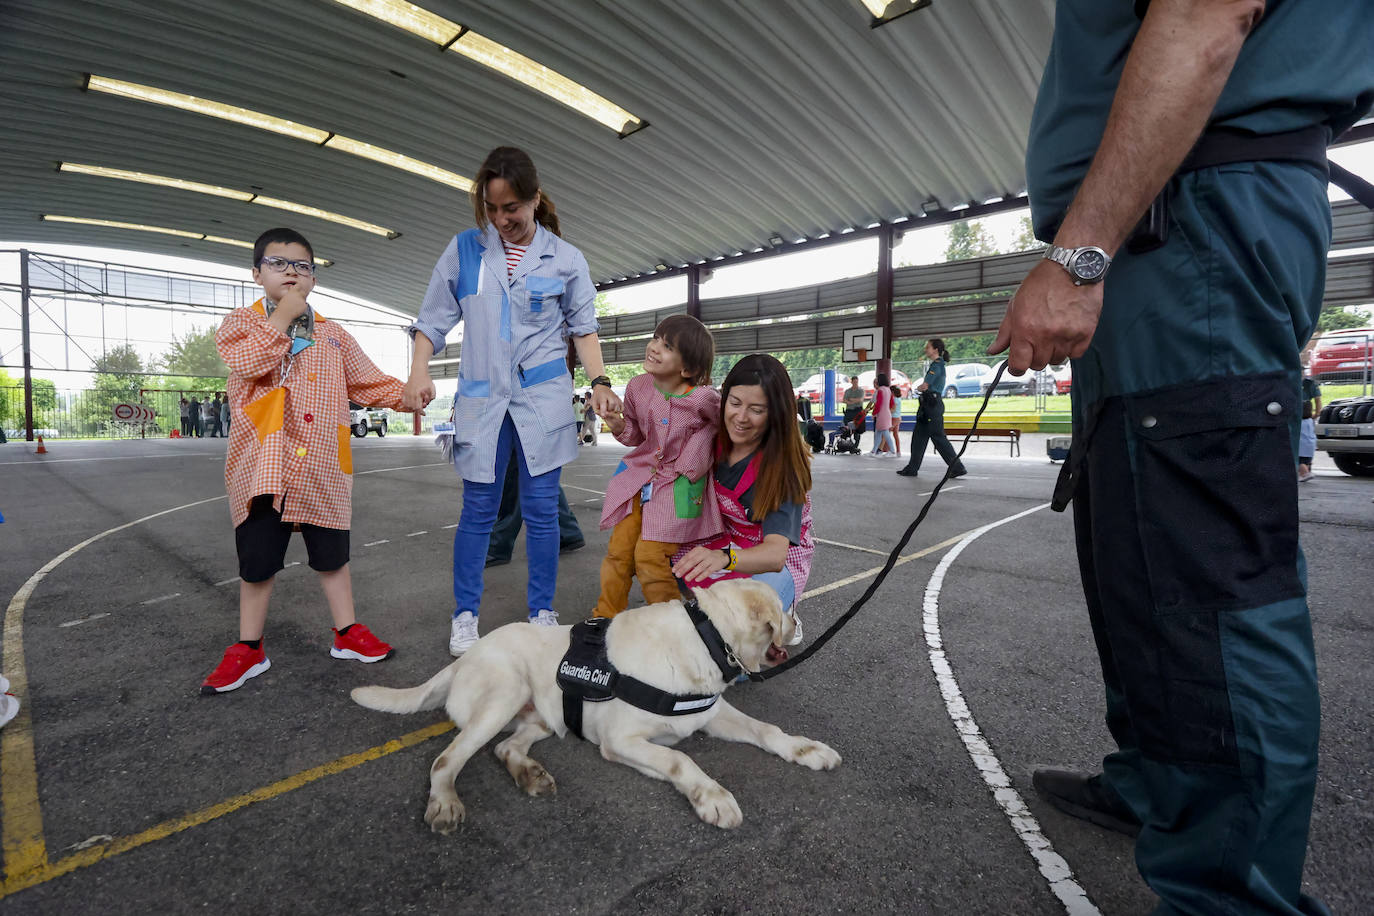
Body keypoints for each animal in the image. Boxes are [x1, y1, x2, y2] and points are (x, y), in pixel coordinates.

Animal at [354, 585, 835, 834]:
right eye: (786, 608)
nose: (799, 622)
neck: (706, 636)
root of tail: (462, 660)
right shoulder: (619, 740)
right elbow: (679, 759)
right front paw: (712, 797)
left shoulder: (709, 714)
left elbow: (766, 729)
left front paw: (806, 749)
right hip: (505, 691)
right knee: (445, 760)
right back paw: (445, 803)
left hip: (542, 717)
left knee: (505, 748)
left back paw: (529, 774)